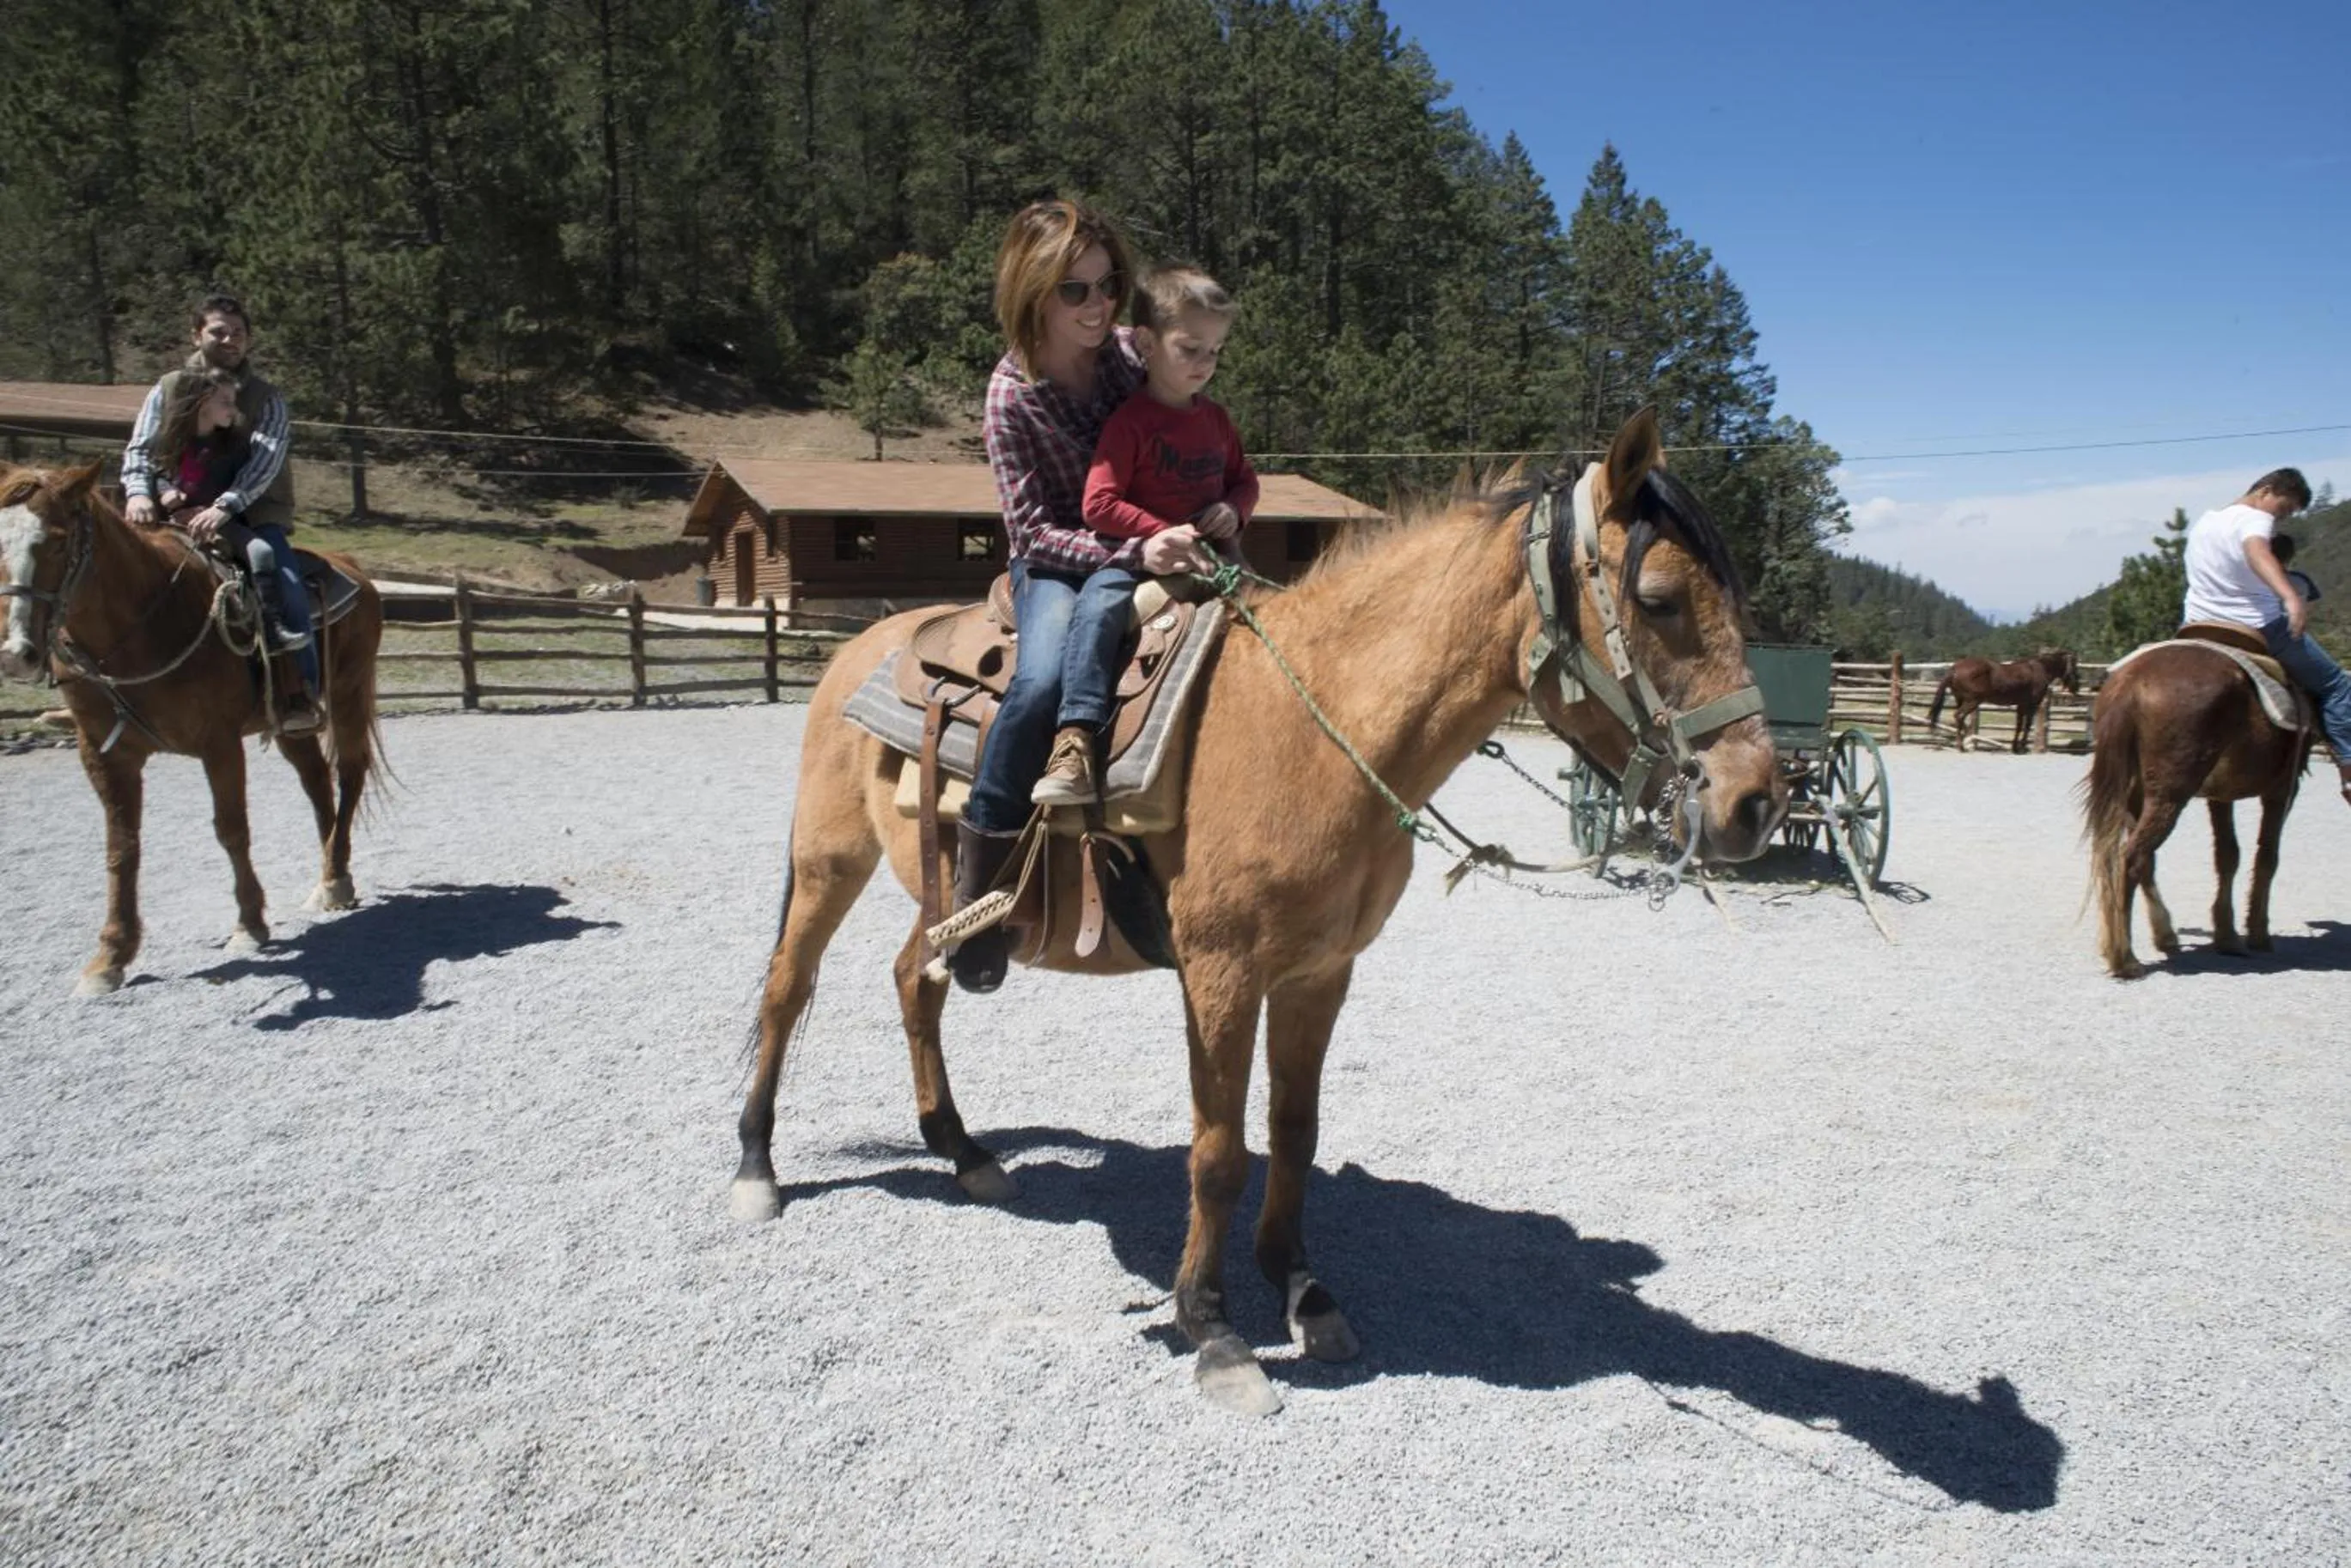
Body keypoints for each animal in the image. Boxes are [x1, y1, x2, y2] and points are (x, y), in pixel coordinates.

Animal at [0, 461, 385, 995]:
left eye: (57, 542)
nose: (17, 654)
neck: (142, 626)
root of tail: (349, 566)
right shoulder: (103, 752)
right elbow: (121, 847)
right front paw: (110, 957)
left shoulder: (218, 742)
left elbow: (231, 829)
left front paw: (249, 923)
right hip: (292, 719)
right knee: (315, 782)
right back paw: (332, 876)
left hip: (349, 691)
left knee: (348, 774)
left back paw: (335, 879)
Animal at [728, 409, 1785, 1412]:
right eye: (1659, 600)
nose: (1754, 803)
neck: (1317, 725)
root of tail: (861, 647)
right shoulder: (1222, 976)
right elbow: (1218, 1155)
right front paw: (1212, 1326)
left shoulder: (1320, 971)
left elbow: (1295, 1131)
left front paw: (1302, 1289)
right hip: (828, 860)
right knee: (787, 988)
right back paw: (756, 1169)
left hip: (946, 895)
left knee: (917, 980)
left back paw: (964, 1152)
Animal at [1927, 646, 2079, 753]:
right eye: (2074, 665)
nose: (2076, 687)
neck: (2039, 669)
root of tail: (1955, 668)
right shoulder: (2031, 704)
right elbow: (2027, 725)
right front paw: (2022, 748)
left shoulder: (2021, 705)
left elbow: (2019, 725)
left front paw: (2015, 748)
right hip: (1972, 701)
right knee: (1959, 716)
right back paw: (1964, 744)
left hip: (1961, 700)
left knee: (1959, 718)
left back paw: (1964, 742)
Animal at [2081, 642, 2311, 979]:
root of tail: (2131, 683)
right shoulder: (2283, 791)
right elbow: (2267, 857)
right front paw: (2258, 934)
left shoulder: (2221, 796)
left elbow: (2228, 856)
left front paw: (2227, 936)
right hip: (2169, 795)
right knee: (2132, 857)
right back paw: (2125, 958)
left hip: (2136, 794)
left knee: (2141, 858)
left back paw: (2158, 936)